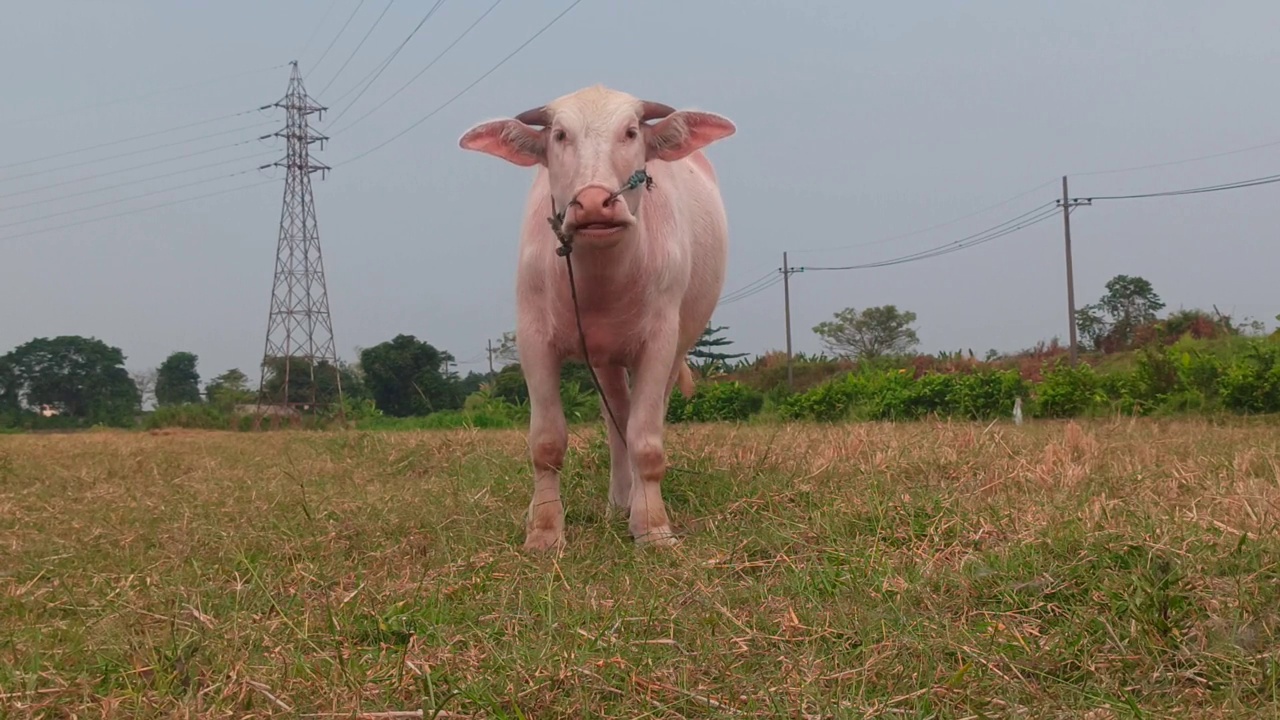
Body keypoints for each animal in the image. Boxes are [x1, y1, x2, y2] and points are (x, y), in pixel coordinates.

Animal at [460, 83, 742, 545]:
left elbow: (646, 440)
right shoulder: (533, 339)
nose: (594, 204)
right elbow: (547, 442)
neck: (600, 279)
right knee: (615, 421)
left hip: (675, 346)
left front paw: (653, 527)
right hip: (605, 359)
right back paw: (617, 502)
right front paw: (544, 530)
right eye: (559, 135)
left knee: (636, 420)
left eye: (630, 132)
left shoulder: (659, 342)